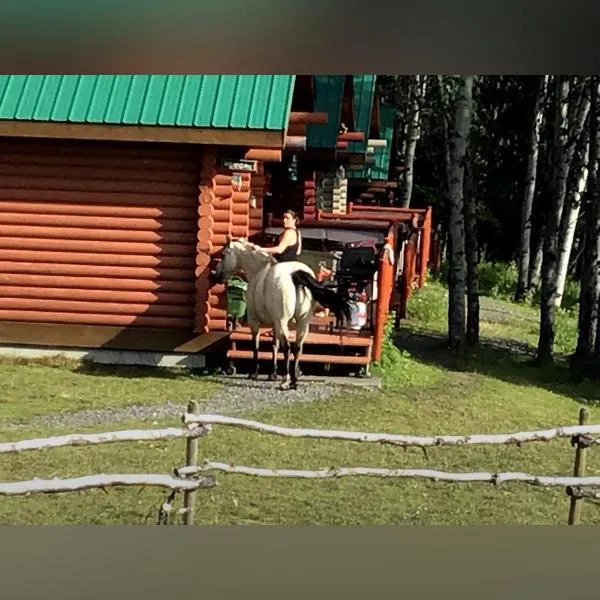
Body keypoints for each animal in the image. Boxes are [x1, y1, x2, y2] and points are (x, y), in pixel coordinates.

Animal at [211, 237, 352, 392]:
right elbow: (274, 345)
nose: (216, 275)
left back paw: (285, 381)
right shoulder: (274, 325)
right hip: (302, 324)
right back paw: (294, 381)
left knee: (288, 347)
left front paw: (254, 373)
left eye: (223, 255)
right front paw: (272, 374)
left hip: (282, 322)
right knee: (297, 347)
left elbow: (257, 345)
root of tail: (295, 274)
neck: (258, 272)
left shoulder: (255, 322)